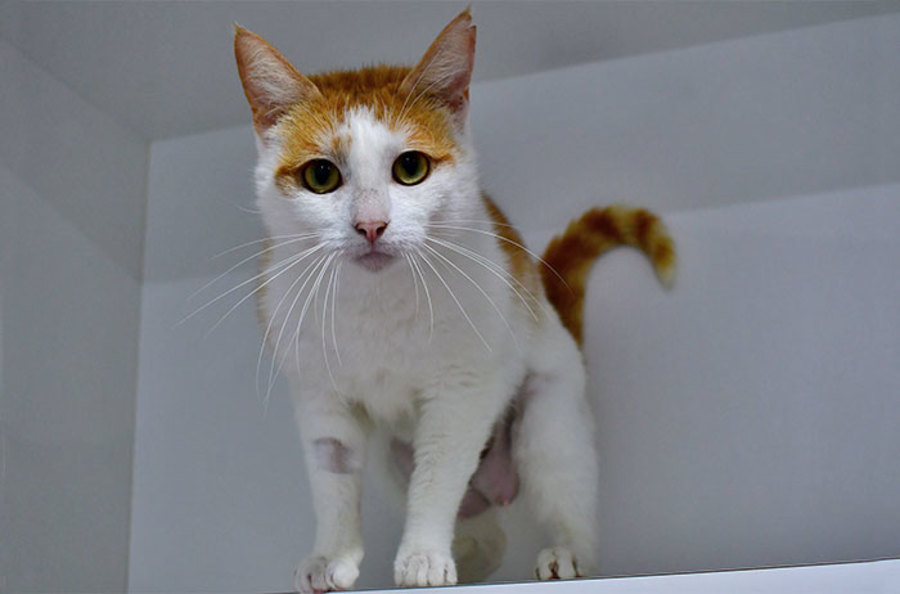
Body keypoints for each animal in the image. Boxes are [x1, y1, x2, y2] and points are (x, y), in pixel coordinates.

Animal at [233, 9, 675, 593]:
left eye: (410, 168)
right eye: (321, 175)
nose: (371, 225)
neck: (375, 306)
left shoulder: (462, 392)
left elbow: (438, 477)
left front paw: (421, 557)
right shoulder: (319, 398)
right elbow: (333, 485)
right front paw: (331, 558)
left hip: (549, 420)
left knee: (564, 495)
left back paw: (567, 555)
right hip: (393, 459)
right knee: (486, 533)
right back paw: (473, 555)